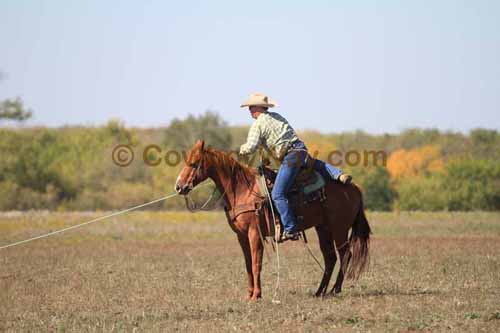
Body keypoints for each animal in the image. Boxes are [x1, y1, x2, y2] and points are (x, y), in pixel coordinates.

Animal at [176, 139, 372, 300]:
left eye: (193, 164)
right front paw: (249, 294)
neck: (242, 189)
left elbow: (256, 263)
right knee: (330, 257)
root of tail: (355, 187)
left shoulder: (255, 233)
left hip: (339, 228)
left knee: (345, 254)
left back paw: (335, 289)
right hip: (323, 228)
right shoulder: (241, 236)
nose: (179, 186)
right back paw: (320, 292)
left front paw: (256, 295)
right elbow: (248, 264)